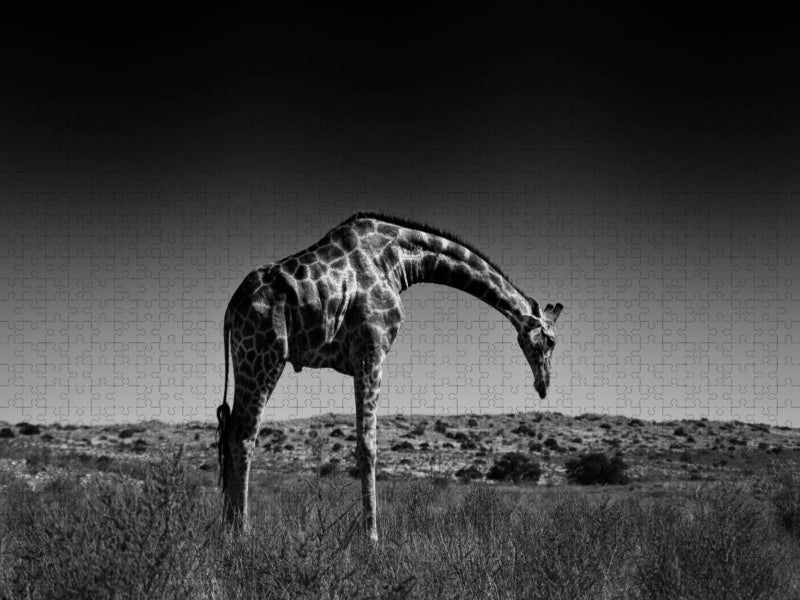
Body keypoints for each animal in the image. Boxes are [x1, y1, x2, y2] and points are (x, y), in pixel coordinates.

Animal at [216, 211, 564, 541]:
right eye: (550, 341)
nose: (543, 385)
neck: (399, 261)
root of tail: (231, 307)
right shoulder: (371, 350)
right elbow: (368, 447)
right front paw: (371, 537)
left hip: (246, 357)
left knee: (230, 429)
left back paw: (227, 530)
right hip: (266, 354)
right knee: (244, 434)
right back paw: (243, 532)